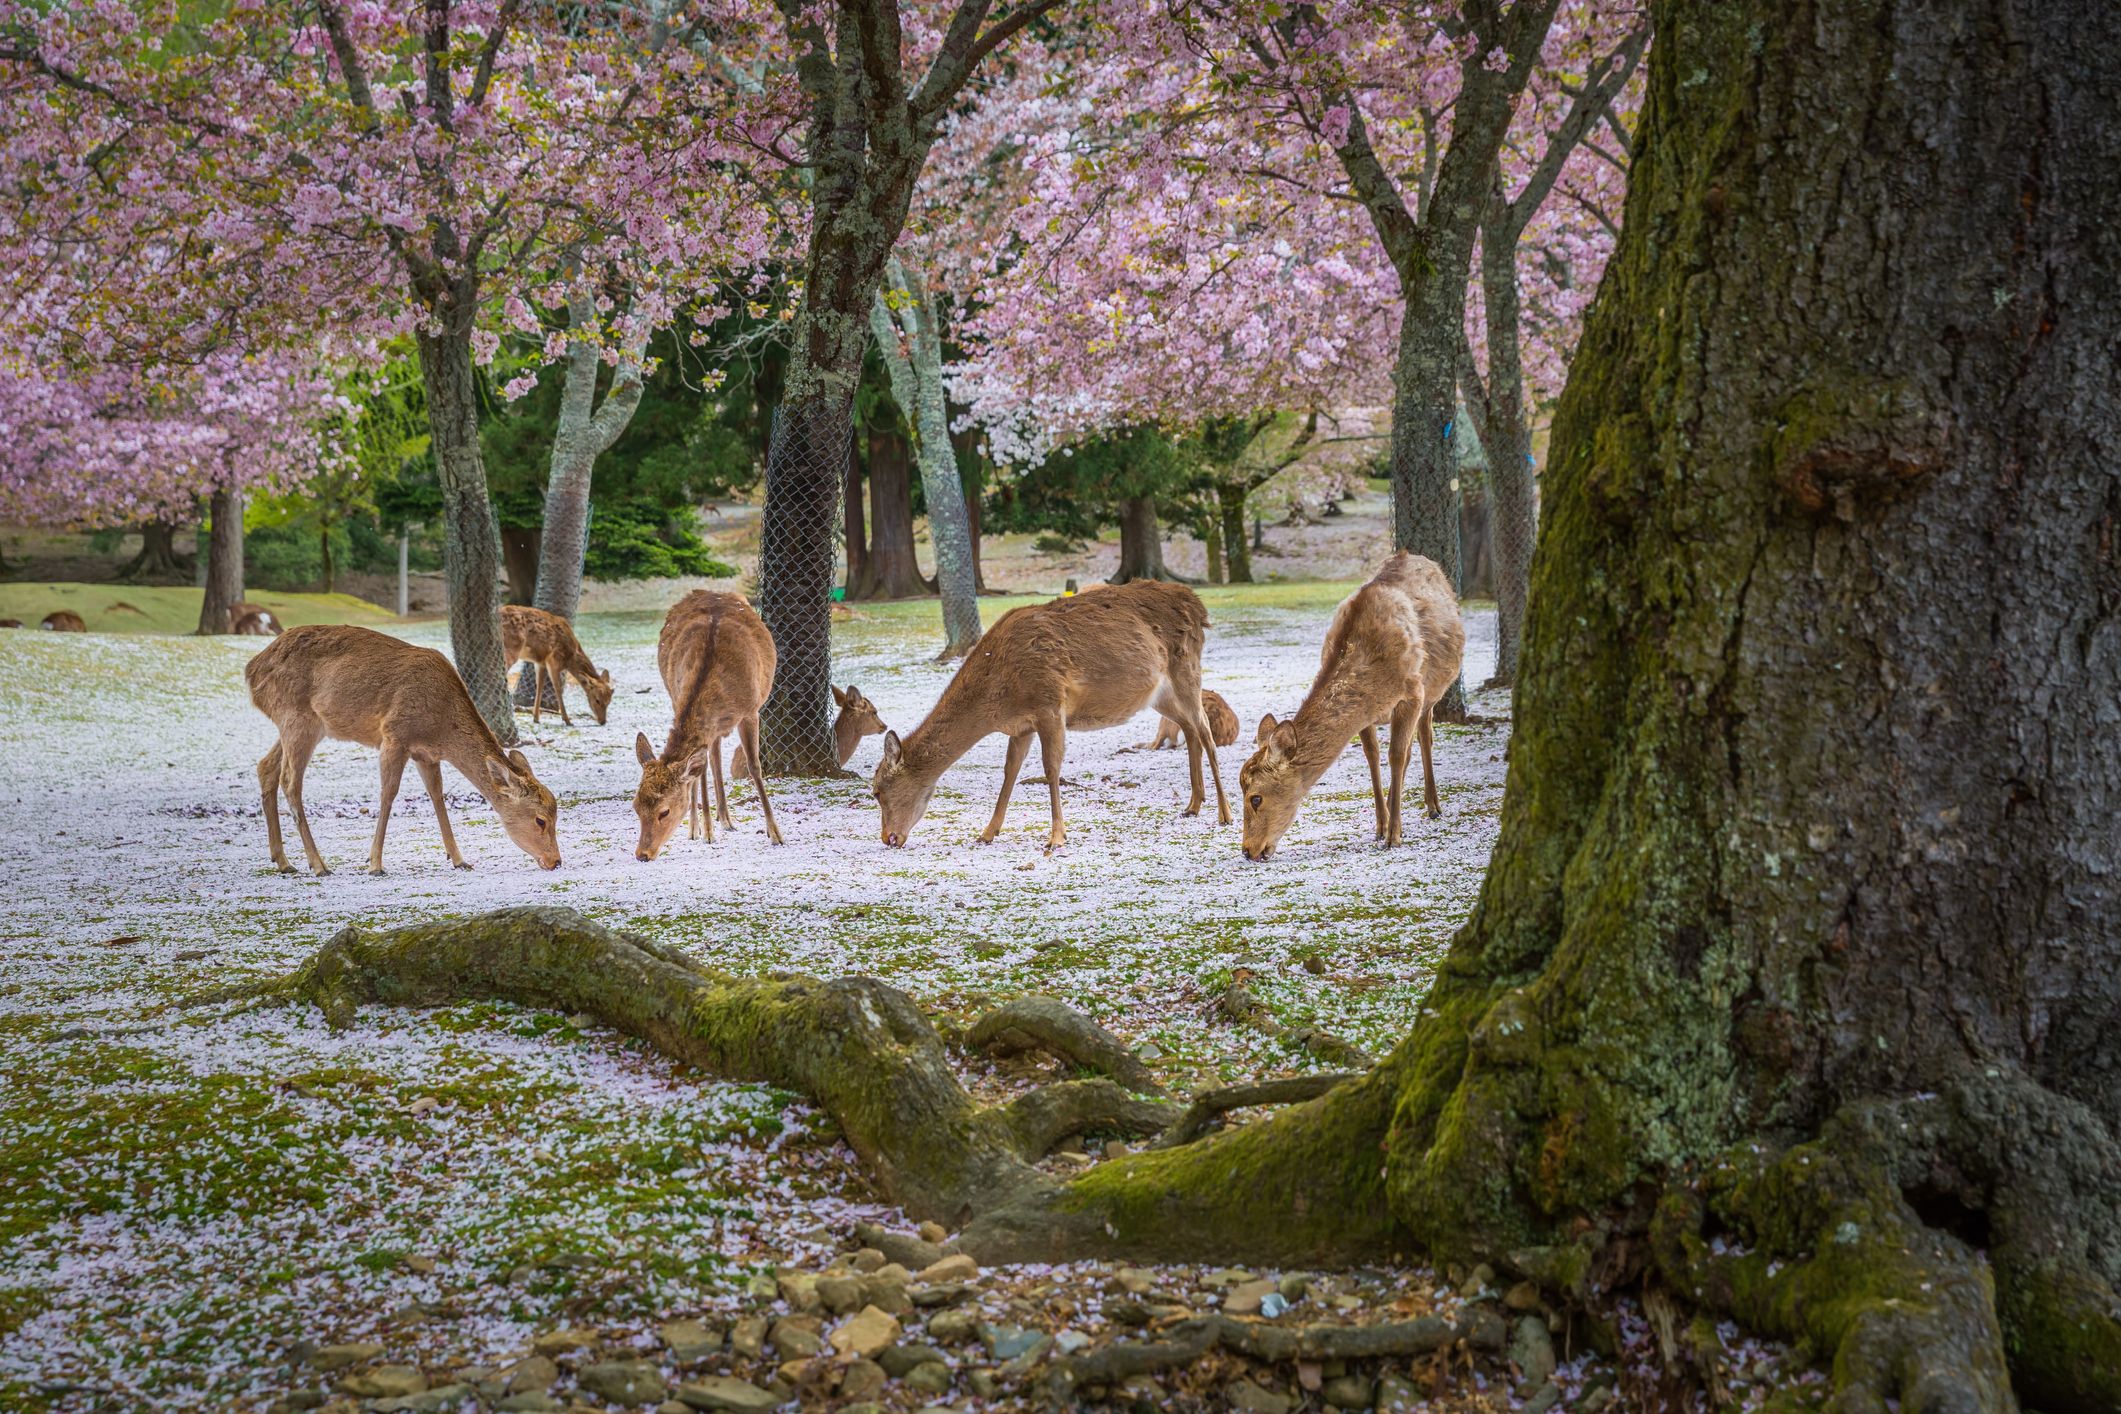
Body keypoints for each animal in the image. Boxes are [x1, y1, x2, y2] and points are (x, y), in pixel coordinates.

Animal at [245, 624, 561, 876]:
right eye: (541, 820)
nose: (556, 861)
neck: (442, 727)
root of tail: (251, 672)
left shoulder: (426, 753)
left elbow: (437, 795)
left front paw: (459, 859)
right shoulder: (395, 735)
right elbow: (388, 793)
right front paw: (374, 863)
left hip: (300, 725)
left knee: (265, 767)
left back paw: (283, 860)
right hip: (297, 717)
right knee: (290, 781)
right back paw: (319, 864)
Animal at [632, 590, 782, 859]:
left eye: (664, 811)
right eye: (636, 806)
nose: (642, 854)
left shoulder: (751, 711)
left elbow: (755, 767)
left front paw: (775, 833)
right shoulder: (677, 699)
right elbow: (698, 772)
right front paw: (704, 831)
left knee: (713, 755)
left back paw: (725, 819)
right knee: (709, 759)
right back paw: (705, 825)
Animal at [871, 579, 1230, 853]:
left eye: (877, 791)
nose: (888, 838)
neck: (997, 698)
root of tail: (1199, 607)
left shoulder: (1049, 705)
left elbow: (1050, 768)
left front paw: (1056, 837)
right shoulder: (1020, 726)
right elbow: (1009, 772)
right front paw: (987, 833)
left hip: (1187, 671)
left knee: (1207, 734)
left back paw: (1224, 814)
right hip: (1159, 695)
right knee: (1190, 730)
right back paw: (1193, 805)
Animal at [1238, 552, 1464, 860]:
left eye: (1256, 798)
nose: (1248, 850)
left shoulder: (1412, 693)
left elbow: (1396, 755)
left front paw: (1393, 836)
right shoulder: (1366, 715)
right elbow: (1372, 757)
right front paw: (1381, 826)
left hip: (1432, 691)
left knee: (1424, 736)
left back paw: (1433, 806)